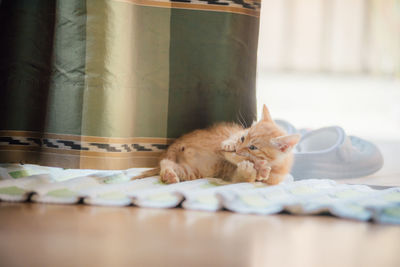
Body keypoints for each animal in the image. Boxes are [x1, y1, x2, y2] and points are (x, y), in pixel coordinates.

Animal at [133, 105, 298, 185]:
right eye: (242, 138)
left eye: (253, 147)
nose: (238, 148)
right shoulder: (231, 143)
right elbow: (233, 152)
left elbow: (245, 177)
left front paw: (257, 170)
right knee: (165, 162)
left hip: (193, 171)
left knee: (167, 163)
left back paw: (169, 175)